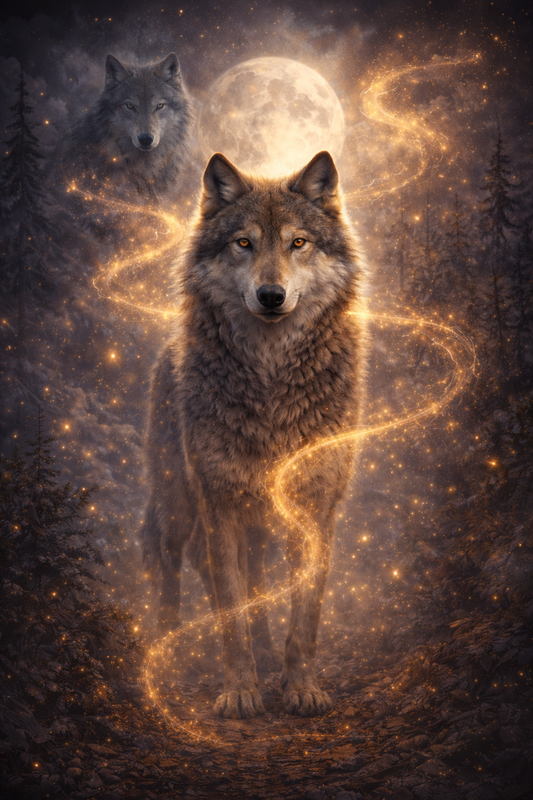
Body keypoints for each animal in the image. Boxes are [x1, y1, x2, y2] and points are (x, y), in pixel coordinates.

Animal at [142, 150, 366, 718]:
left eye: (297, 243)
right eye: (243, 243)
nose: (271, 295)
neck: (271, 384)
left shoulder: (314, 505)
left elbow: (304, 614)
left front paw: (300, 688)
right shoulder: (218, 502)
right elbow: (230, 611)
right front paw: (240, 691)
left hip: (258, 517)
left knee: (253, 574)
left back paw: (266, 657)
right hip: (179, 501)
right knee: (165, 551)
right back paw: (168, 651)